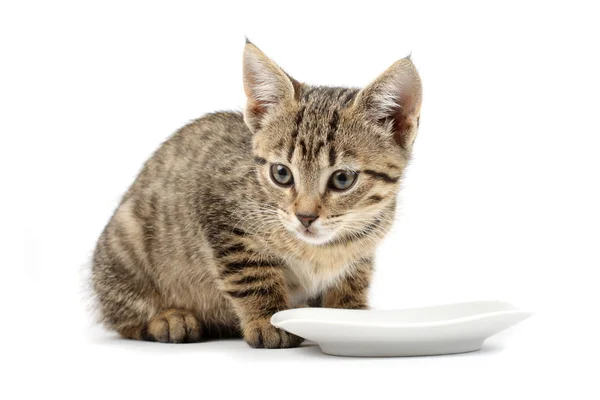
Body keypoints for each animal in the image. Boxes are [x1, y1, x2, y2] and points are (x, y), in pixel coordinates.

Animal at [92, 40, 422, 346]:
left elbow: (351, 282)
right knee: (123, 317)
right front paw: (268, 320)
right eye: (281, 174)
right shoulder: (223, 217)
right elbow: (252, 276)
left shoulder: (361, 252)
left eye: (342, 179)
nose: (305, 217)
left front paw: (349, 316)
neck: (323, 249)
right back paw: (168, 319)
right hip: (126, 237)